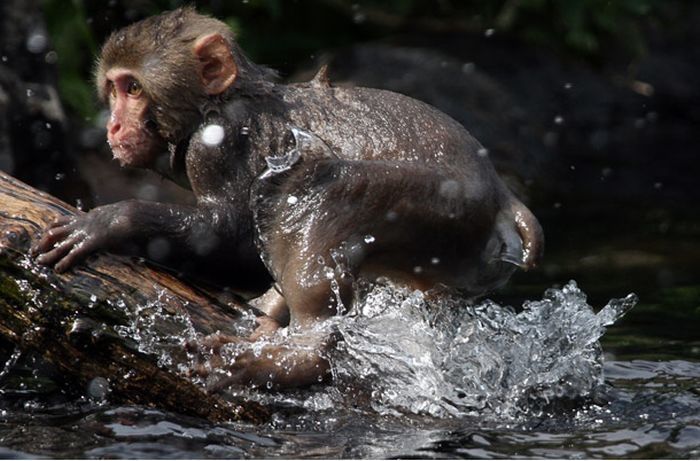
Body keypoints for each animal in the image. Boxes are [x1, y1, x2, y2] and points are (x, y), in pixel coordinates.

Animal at [31, 8, 548, 388]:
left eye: (134, 87)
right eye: (114, 88)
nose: (115, 126)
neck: (214, 106)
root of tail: (504, 198)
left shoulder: (219, 145)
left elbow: (228, 239)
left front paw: (109, 221)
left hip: (444, 204)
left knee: (320, 187)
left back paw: (299, 359)